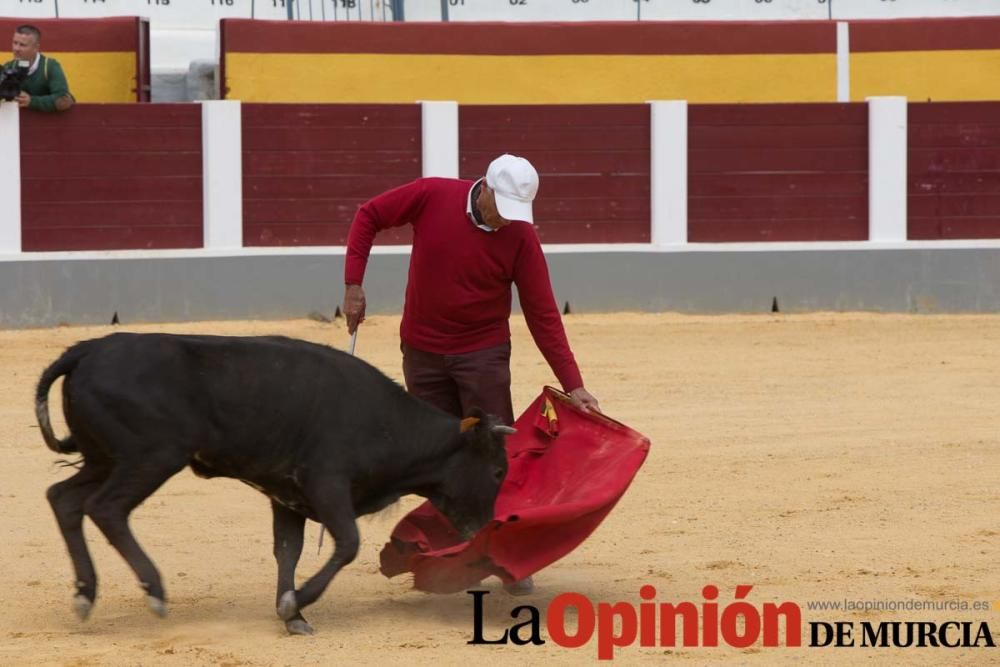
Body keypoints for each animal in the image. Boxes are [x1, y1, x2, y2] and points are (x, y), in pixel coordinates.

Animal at [37, 334, 516, 636]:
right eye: (497, 471)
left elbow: (288, 550)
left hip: (104, 459)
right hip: (150, 458)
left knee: (64, 499)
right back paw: (154, 592)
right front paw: (295, 603)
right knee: (106, 509)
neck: (386, 422)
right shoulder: (328, 484)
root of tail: (88, 350)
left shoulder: (288, 499)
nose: (487, 528)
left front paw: (293, 613)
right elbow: (347, 544)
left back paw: (85, 594)